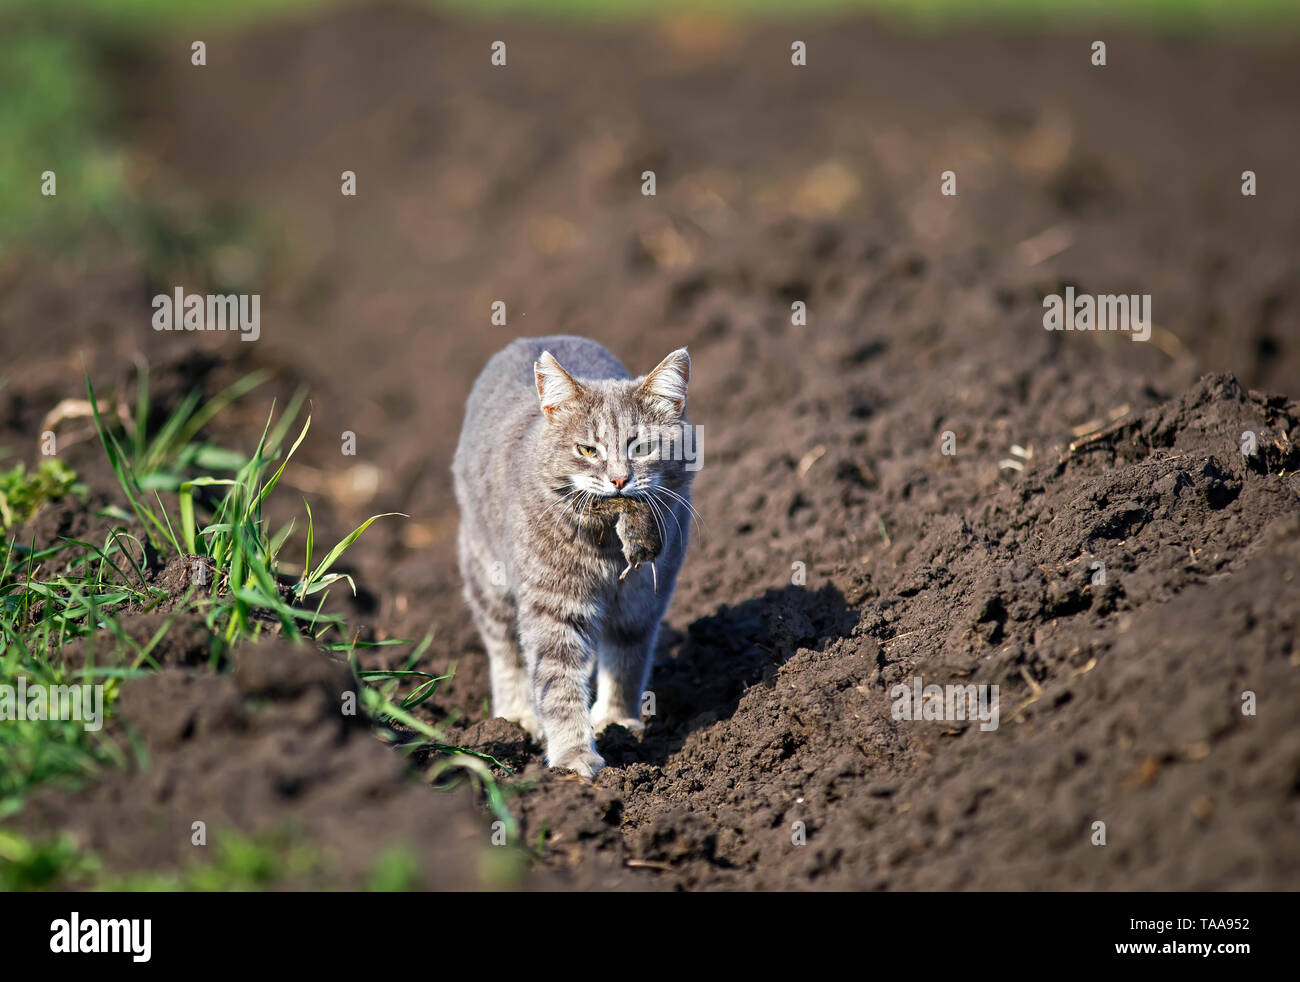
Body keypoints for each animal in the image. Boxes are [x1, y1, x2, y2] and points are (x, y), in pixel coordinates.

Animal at [454, 332, 702, 780]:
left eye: (641, 446)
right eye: (587, 450)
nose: (619, 480)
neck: (608, 546)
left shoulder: (642, 601)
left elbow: (627, 661)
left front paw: (617, 721)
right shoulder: (554, 606)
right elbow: (558, 683)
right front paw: (573, 759)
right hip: (486, 575)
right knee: (504, 649)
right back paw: (514, 717)